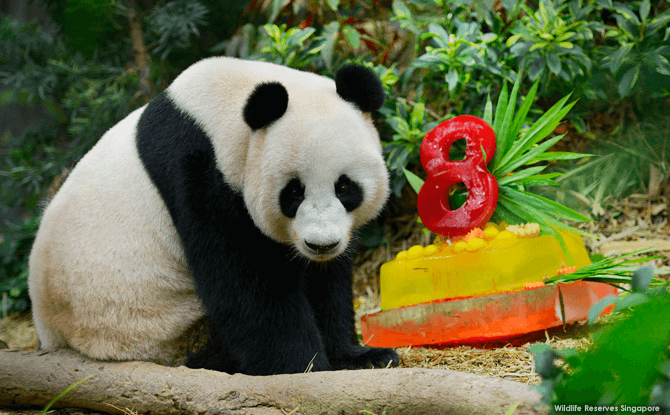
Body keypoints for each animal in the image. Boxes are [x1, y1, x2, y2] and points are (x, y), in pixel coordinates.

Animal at [28, 56, 402, 376]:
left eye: (344, 186)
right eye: (293, 192)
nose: (321, 244)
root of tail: (51, 335)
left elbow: (326, 281)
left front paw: (359, 356)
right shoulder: (200, 175)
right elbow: (244, 283)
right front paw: (304, 367)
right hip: (153, 328)